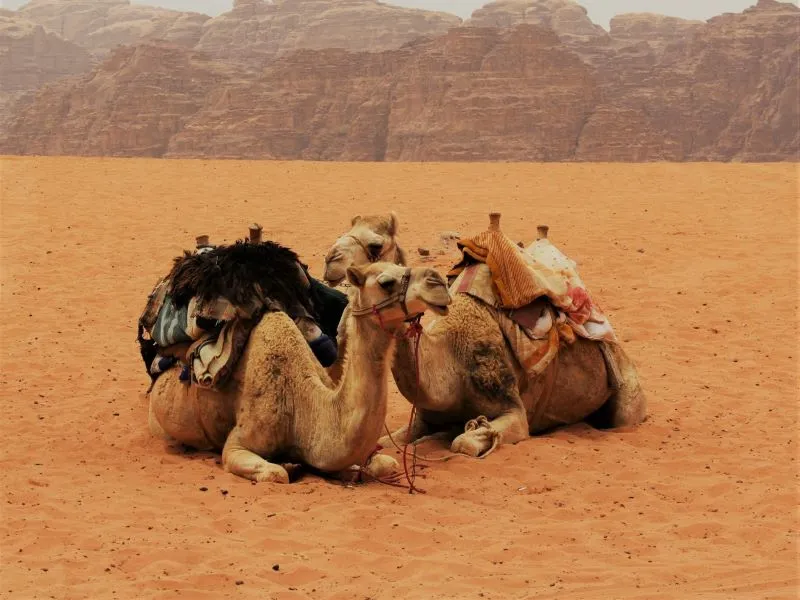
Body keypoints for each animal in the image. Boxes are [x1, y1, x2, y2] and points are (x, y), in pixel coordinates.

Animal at [147, 262, 454, 482]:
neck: (303, 405)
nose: (438, 282)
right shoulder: (237, 443)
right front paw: (289, 465)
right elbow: (275, 472)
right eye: (386, 282)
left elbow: (386, 464)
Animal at [322, 213, 648, 458]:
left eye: (375, 245)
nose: (330, 260)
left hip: (627, 397)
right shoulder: (424, 416)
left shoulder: (514, 412)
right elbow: (390, 442)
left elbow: (463, 443)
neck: (450, 355)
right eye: (344, 231)